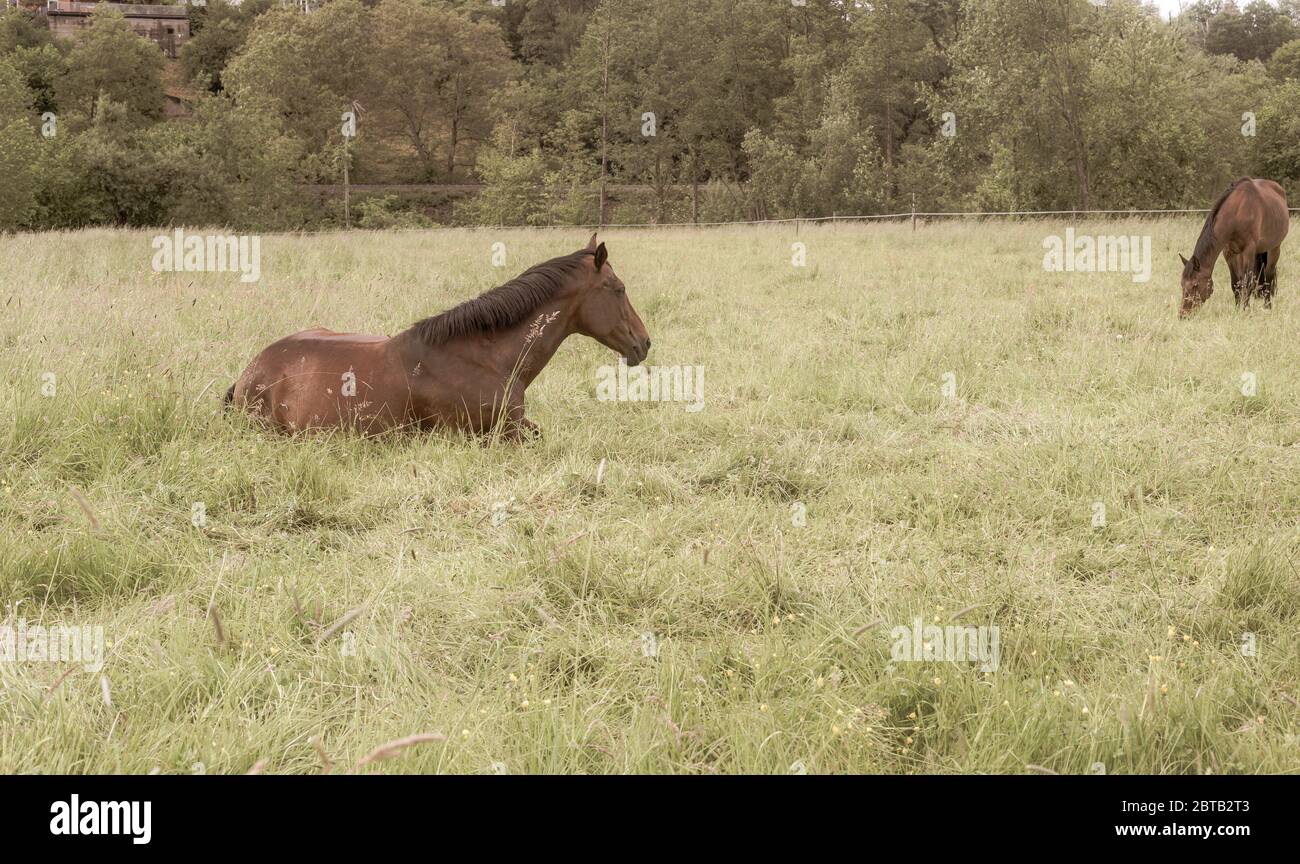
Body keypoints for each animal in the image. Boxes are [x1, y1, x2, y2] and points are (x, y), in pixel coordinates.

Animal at [1185, 176, 1284, 315]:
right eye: (1182, 284)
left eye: (1195, 285)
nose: (1183, 314)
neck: (1237, 213)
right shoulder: (1229, 253)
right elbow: (1236, 284)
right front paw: (1237, 310)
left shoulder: (1249, 250)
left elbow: (1248, 284)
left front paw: (1245, 310)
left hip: (1274, 249)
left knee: (1268, 278)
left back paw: (1267, 307)